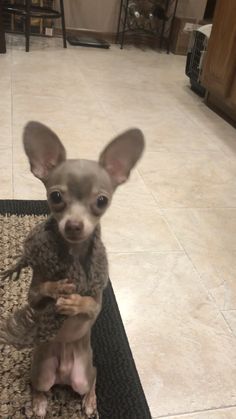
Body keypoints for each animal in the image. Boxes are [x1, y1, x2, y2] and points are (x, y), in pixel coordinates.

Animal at [0, 122, 144, 419]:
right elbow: (40, 291)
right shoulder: (34, 294)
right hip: (42, 371)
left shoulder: (98, 302)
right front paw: (57, 287)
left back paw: (90, 402)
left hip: (83, 376)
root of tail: (64, 375)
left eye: (101, 201)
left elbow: (90, 304)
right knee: (39, 387)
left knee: (94, 378)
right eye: (55, 196)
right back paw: (39, 403)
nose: (74, 225)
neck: (73, 257)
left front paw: (75, 301)